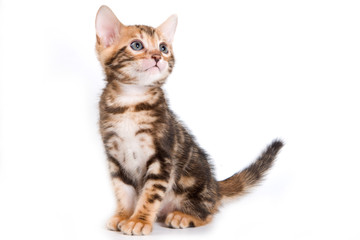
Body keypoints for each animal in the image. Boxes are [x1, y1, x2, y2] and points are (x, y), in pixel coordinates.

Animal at [95, 4, 284, 235]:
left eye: (164, 48)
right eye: (136, 45)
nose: (158, 56)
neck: (130, 102)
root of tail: (215, 186)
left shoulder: (162, 157)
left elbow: (150, 194)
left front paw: (139, 220)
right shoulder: (115, 156)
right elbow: (123, 190)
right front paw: (123, 215)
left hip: (192, 185)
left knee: (209, 212)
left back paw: (184, 216)